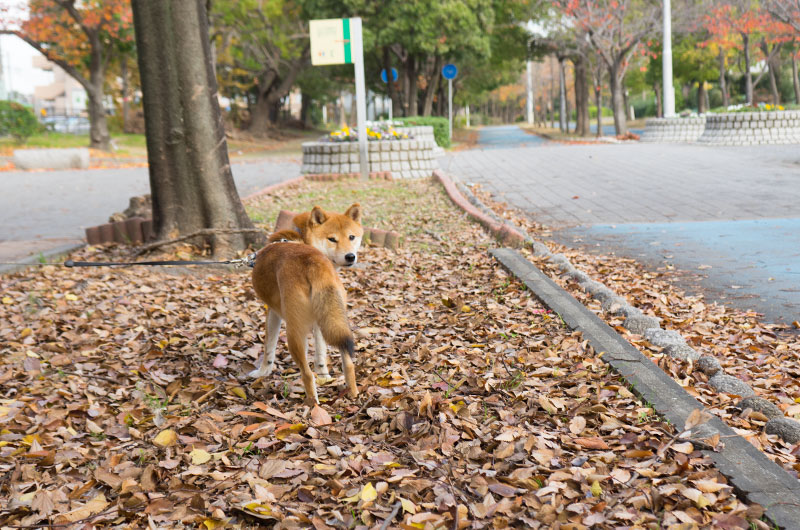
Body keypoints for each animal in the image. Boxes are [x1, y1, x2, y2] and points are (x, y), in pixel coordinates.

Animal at [245, 241, 354, 402]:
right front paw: (323, 376)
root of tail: (315, 262)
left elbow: (268, 347)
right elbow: (320, 354)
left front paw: (262, 372)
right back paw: (353, 393)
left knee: (307, 375)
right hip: (335, 320)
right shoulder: (319, 324)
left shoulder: (273, 313)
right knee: (349, 363)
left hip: (293, 334)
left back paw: (312, 403)